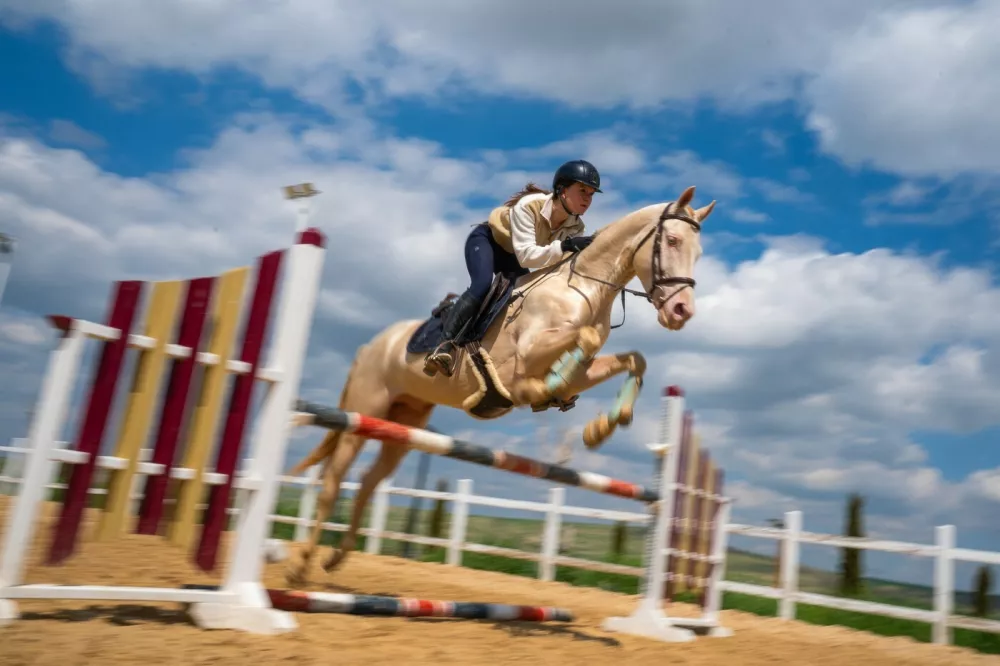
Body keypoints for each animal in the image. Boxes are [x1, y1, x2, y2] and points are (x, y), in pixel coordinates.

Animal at [284, 185, 714, 585]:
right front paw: (547, 387)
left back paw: (336, 557)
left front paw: (600, 427)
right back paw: (300, 566)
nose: (682, 312)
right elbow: (577, 345)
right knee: (333, 478)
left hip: (404, 424)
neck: (582, 290)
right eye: (672, 241)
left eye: (699, 252)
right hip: (364, 410)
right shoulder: (524, 356)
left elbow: (631, 358)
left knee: (369, 481)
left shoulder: (587, 368)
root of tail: (371, 344)